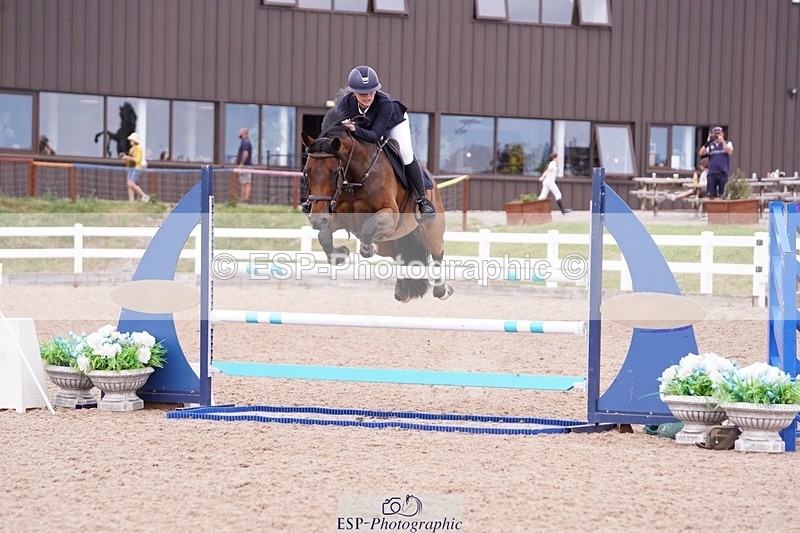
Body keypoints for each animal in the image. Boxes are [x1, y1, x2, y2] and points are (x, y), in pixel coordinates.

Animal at [301, 108, 453, 302]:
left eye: (334, 172)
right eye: (306, 172)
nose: (317, 219)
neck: (355, 179)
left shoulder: (390, 214)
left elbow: (367, 228)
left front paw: (367, 248)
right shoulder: (337, 217)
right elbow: (324, 236)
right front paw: (340, 254)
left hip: (430, 231)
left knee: (437, 251)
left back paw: (442, 290)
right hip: (390, 242)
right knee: (399, 255)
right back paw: (402, 290)